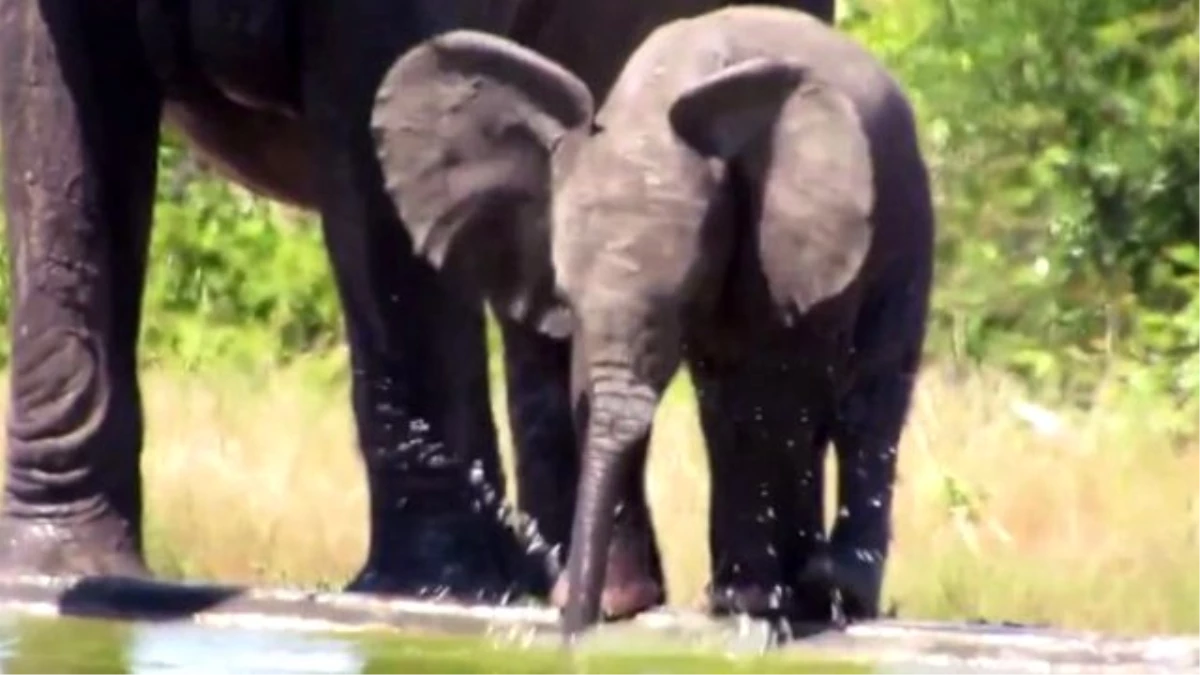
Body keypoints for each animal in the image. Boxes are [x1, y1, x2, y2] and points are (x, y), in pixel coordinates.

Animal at [369, 6, 931, 634]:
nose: (573, 627)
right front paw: (619, 605)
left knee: (865, 403)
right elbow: (597, 392)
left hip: (907, 227)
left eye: (683, 296)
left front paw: (756, 605)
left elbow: (765, 394)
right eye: (565, 294)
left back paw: (828, 594)